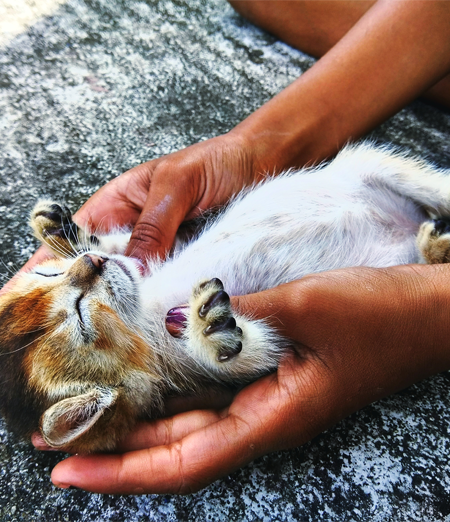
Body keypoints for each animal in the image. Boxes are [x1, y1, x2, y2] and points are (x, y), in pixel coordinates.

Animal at [0, 143, 450, 450]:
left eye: (48, 273)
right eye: (81, 319)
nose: (90, 265)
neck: (146, 309)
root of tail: (406, 226)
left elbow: (125, 245)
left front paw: (61, 230)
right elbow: (253, 357)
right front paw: (210, 334)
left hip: (370, 164)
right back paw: (435, 247)